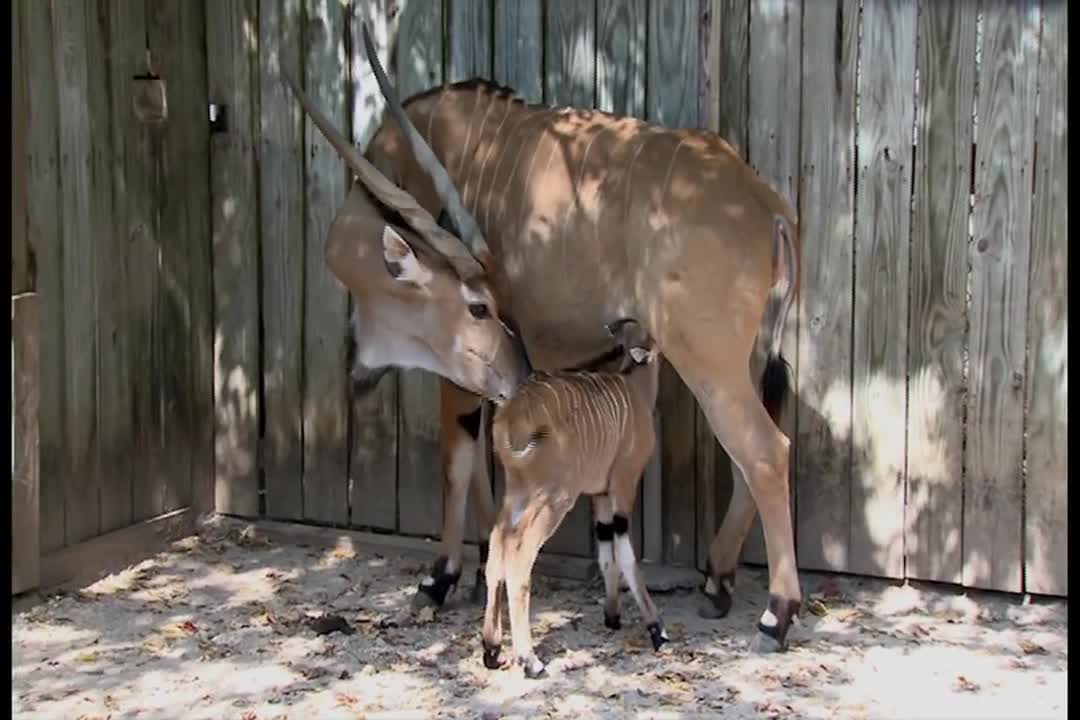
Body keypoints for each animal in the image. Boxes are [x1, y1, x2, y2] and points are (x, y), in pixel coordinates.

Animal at [481, 317, 665, 677]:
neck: (635, 389)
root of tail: (510, 417)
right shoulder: (623, 485)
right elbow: (626, 554)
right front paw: (656, 629)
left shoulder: (601, 495)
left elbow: (606, 554)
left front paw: (612, 616)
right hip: (555, 497)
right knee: (519, 554)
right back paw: (530, 660)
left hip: (518, 491)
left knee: (498, 544)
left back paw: (492, 649)